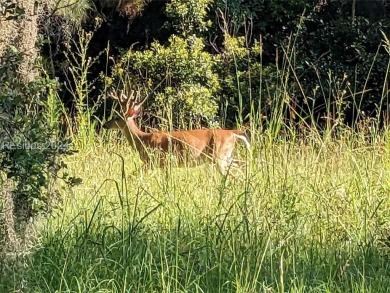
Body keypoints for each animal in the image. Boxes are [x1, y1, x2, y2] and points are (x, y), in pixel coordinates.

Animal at [103, 90, 250, 175]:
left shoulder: (159, 161)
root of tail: (231, 133)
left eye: (116, 117)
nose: (105, 125)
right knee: (240, 167)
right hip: (226, 156)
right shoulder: (154, 163)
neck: (142, 139)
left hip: (219, 156)